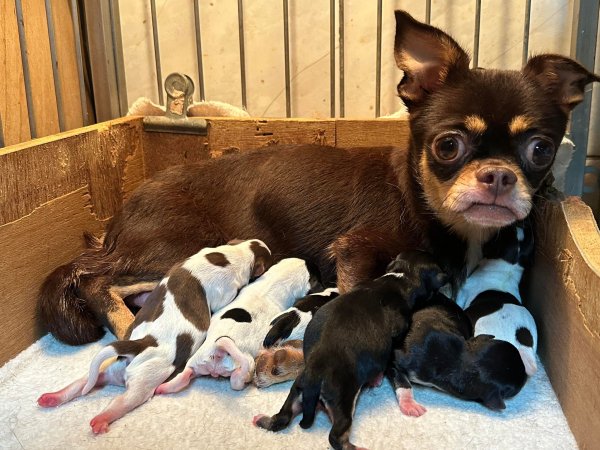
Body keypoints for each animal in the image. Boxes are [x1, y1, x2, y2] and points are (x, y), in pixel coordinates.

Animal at [37, 239, 271, 434]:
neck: (232, 254)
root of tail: (140, 345)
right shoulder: (226, 291)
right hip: (143, 381)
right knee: (123, 402)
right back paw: (101, 420)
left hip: (108, 370)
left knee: (83, 383)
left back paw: (51, 398)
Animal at [39, 10, 600, 347]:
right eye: (448, 146)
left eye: (541, 150)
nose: (500, 176)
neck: (427, 205)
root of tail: (115, 225)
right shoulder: (355, 253)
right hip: (175, 246)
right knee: (92, 280)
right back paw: (125, 323)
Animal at [155, 258, 316, 393]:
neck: (275, 282)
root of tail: (219, 352)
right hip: (244, 369)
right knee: (240, 377)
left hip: (197, 361)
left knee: (186, 374)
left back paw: (163, 388)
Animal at [253, 251, 447, 450]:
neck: (399, 277)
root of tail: (314, 378)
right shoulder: (396, 333)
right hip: (343, 402)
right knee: (336, 437)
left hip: (296, 391)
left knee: (281, 419)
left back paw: (262, 420)